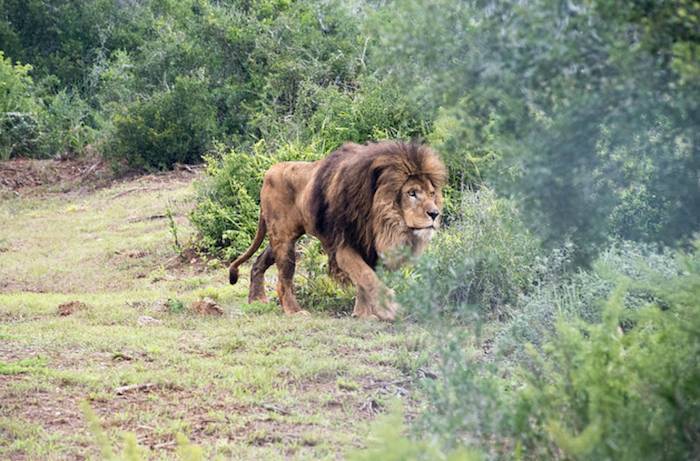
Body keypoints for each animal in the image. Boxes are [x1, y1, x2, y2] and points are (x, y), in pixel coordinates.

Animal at [227, 141, 447, 320]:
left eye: (431, 193)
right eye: (412, 193)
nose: (435, 214)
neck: (380, 220)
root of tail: (269, 171)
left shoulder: (368, 246)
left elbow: (364, 280)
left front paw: (362, 314)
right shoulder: (344, 245)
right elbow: (367, 276)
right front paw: (389, 308)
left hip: (283, 236)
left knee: (259, 262)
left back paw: (257, 300)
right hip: (284, 239)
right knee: (284, 280)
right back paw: (294, 311)